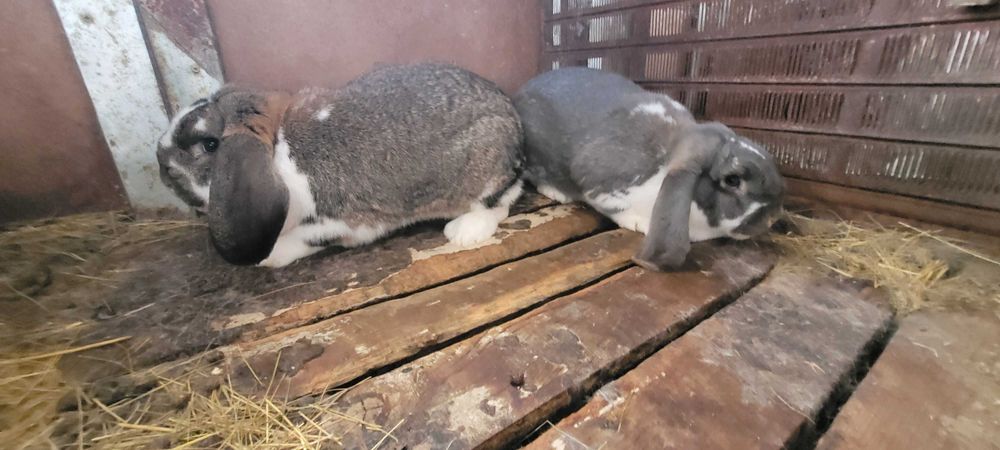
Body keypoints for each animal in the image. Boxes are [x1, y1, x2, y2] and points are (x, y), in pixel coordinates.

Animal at [156, 63, 524, 267]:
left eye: (209, 144)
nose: (160, 160)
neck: (277, 152)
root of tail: (516, 127)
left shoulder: (337, 222)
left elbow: (303, 241)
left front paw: (271, 258)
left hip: (483, 176)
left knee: (498, 205)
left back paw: (463, 233)